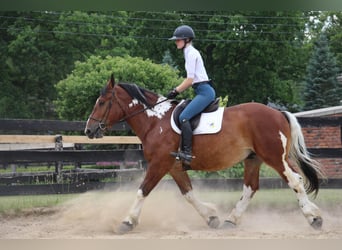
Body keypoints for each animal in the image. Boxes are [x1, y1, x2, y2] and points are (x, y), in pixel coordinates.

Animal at [85, 74, 324, 234]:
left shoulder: (159, 164)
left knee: (294, 180)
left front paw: (127, 222)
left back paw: (313, 218)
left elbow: (142, 191)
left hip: (274, 157)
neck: (156, 121)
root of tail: (278, 113)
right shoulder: (174, 167)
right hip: (254, 159)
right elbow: (189, 194)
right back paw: (231, 220)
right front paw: (211, 217)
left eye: (102, 102)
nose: (89, 130)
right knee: (251, 188)